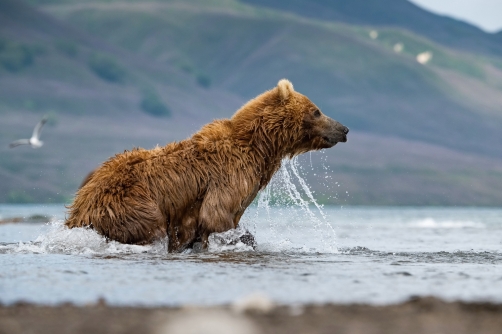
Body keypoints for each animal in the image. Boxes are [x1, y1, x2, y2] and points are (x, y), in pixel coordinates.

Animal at [65, 79, 350, 252]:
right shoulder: (229, 175)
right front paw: (244, 239)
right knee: (152, 226)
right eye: (316, 110)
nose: (344, 129)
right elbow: (216, 216)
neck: (261, 147)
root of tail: (80, 206)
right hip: (130, 204)